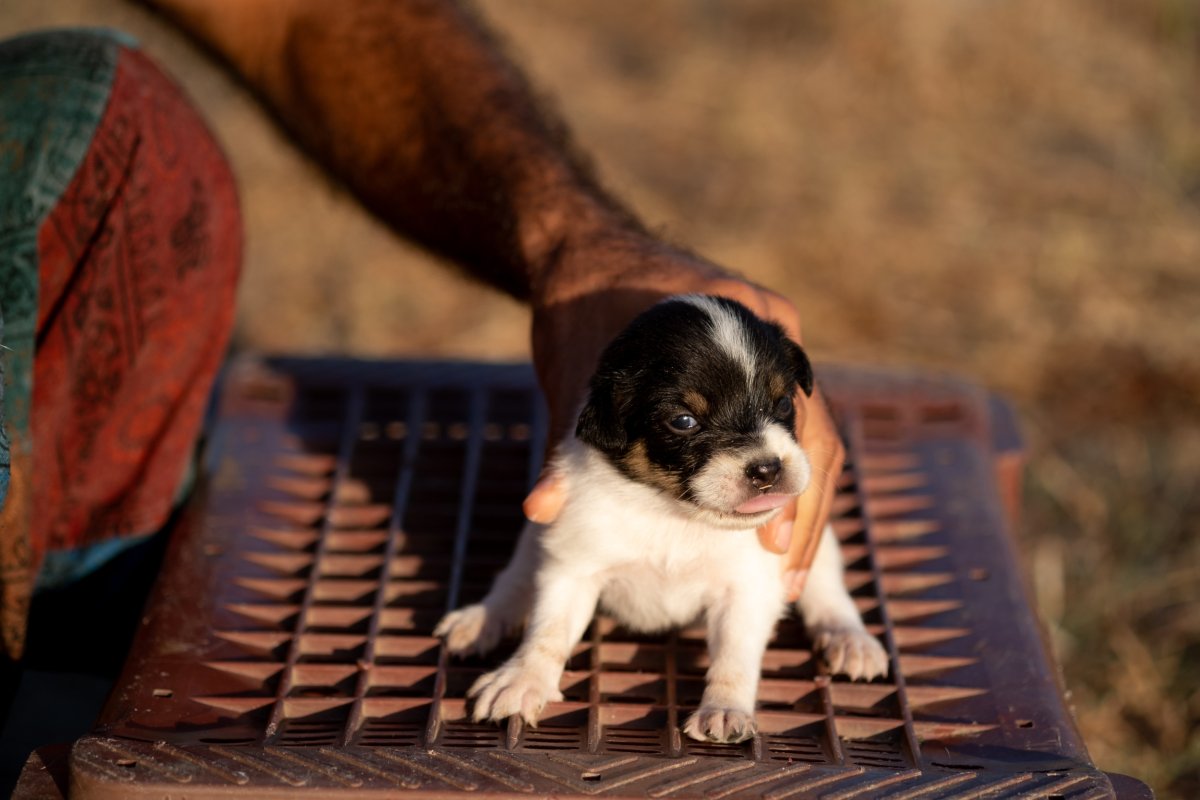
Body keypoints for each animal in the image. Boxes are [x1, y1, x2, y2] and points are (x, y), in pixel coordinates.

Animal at [436, 296, 888, 743]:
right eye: (683, 421)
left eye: (783, 403)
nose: (767, 469)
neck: (675, 514)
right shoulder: (573, 565)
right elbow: (549, 628)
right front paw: (521, 679)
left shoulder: (748, 586)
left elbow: (735, 653)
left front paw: (725, 708)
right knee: (514, 579)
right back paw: (482, 619)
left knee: (827, 589)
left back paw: (850, 639)